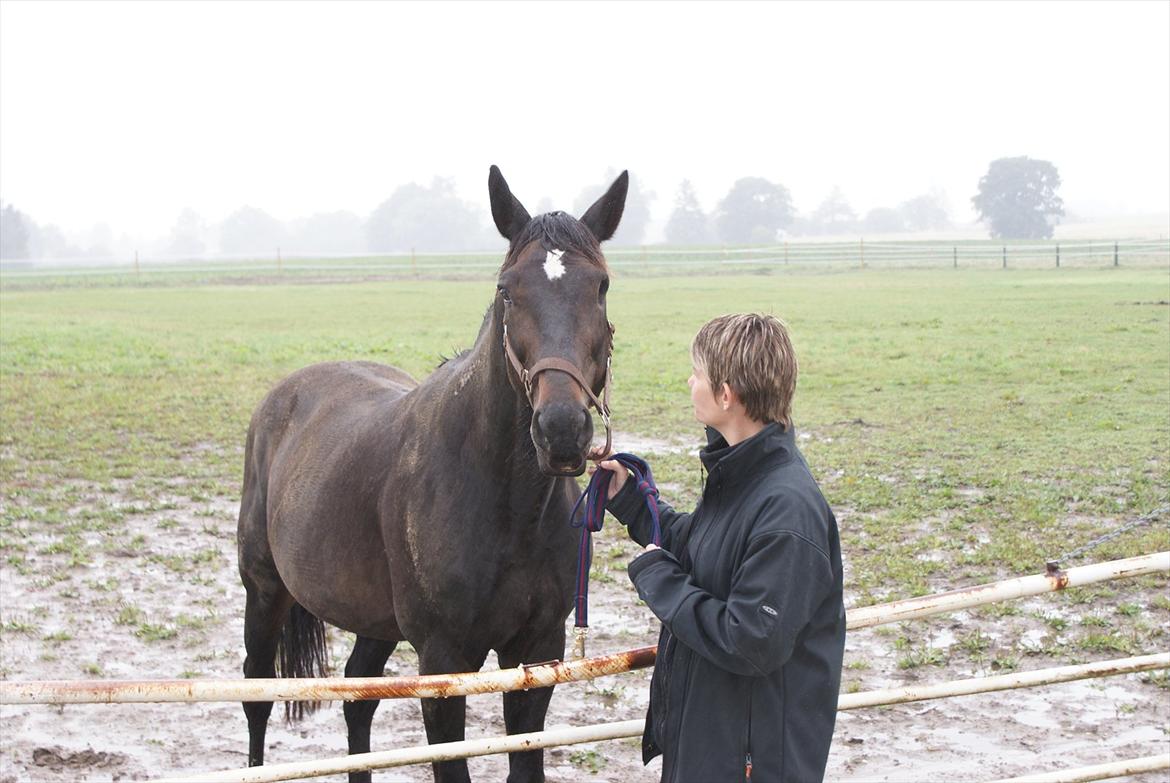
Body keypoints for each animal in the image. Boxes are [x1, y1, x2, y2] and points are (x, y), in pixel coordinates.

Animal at [231, 166, 627, 781]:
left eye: (601, 285)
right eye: (507, 288)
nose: (561, 429)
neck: (504, 504)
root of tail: (284, 395)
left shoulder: (538, 654)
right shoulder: (444, 662)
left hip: (373, 620)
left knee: (357, 698)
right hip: (265, 590)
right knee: (257, 696)